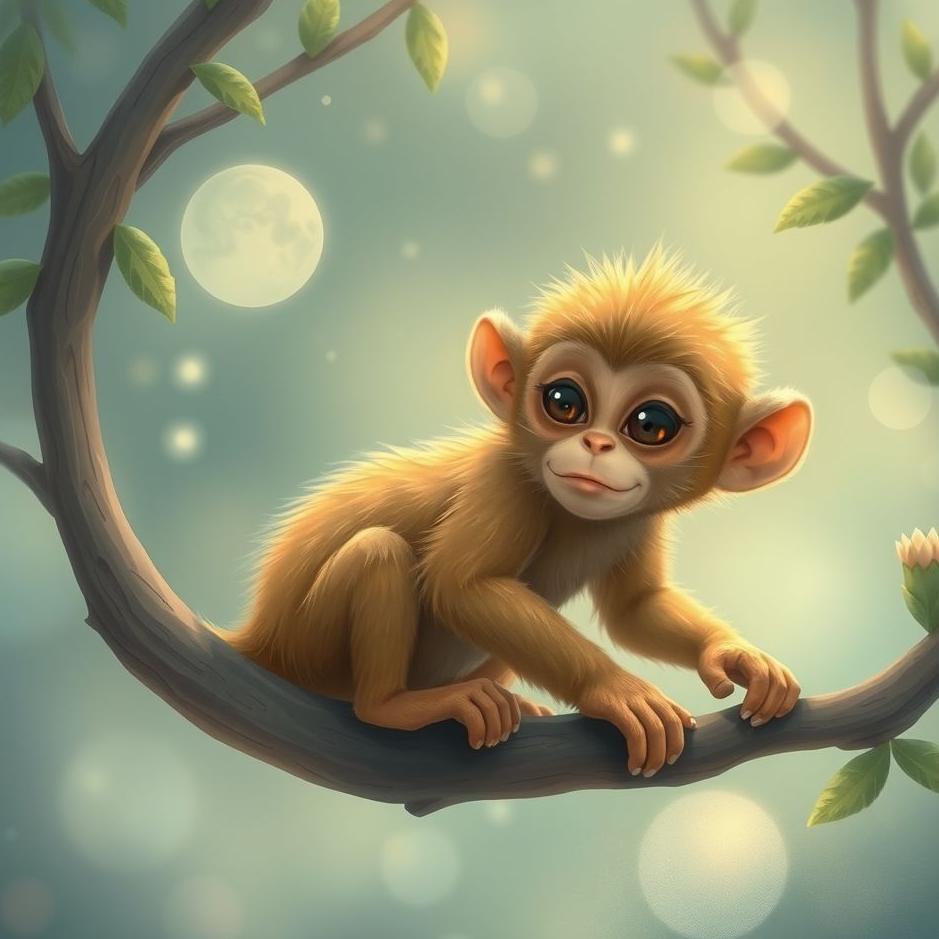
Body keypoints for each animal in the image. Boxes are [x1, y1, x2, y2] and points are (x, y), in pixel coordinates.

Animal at [225, 247, 812, 778]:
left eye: (651, 425)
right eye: (564, 402)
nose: (596, 444)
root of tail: (259, 637)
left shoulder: (641, 520)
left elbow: (634, 611)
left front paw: (733, 654)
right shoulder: (503, 482)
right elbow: (464, 585)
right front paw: (614, 689)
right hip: (308, 645)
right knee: (378, 551)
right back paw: (393, 705)